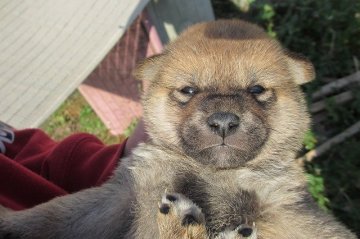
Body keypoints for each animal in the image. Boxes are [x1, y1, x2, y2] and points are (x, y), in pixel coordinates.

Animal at [0, 20, 356, 239]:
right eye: (188, 90)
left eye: (256, 89)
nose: (223, 120)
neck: (215, 175)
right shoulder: (120, 197)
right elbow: (49, 214)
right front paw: (8, 222)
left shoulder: (290, 214)